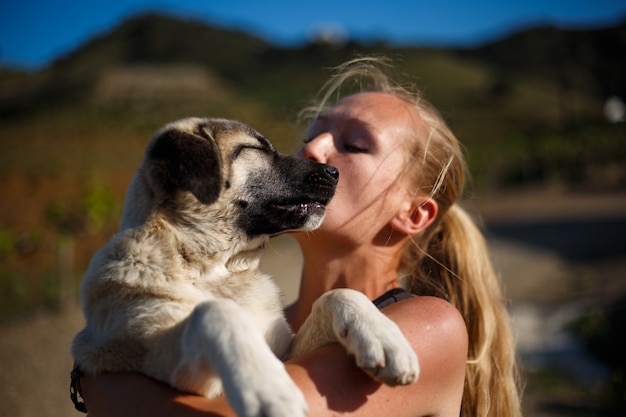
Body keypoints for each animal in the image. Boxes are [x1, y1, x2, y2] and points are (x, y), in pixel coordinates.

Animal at [70, 117, 416, 416]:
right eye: (258, 149)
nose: (334, 172)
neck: (214, 267)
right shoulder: (162, 359)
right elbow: (216, 311)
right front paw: (268, 390)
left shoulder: (286, 352)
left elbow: (335, 295)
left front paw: (383, 337)